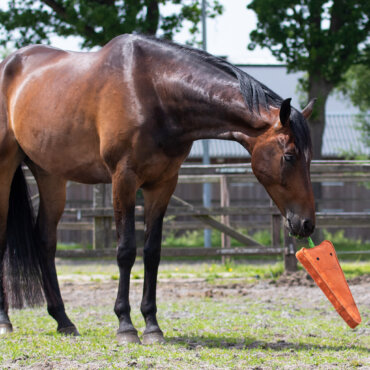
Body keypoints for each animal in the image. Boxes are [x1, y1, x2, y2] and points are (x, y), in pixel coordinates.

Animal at [0, 34, 316, 344]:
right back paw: (5, 320)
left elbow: (152, 252)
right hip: (6, 168)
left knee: (45, 241)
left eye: (309, 157)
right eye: (289, 156)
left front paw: (152, 325)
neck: (154, 92)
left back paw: (63, 321)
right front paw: (125, 326)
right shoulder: (123, 180)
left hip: (50, 175)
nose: (307, 223)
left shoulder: (162, 183)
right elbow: (126, 250)